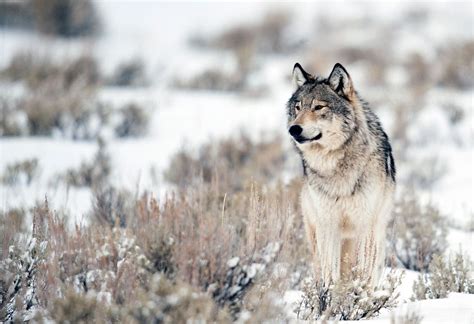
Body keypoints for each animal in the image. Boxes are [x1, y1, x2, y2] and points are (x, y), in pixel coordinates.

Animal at [286, 62, 394, 284]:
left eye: (319, 107)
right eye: (298, 107)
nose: (294, 129)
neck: (334, 164)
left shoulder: (365, 224)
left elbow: (362, 273)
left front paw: (358, 292)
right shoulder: (328, 224)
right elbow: (330, 275)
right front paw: (331, 294)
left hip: (377, 236)